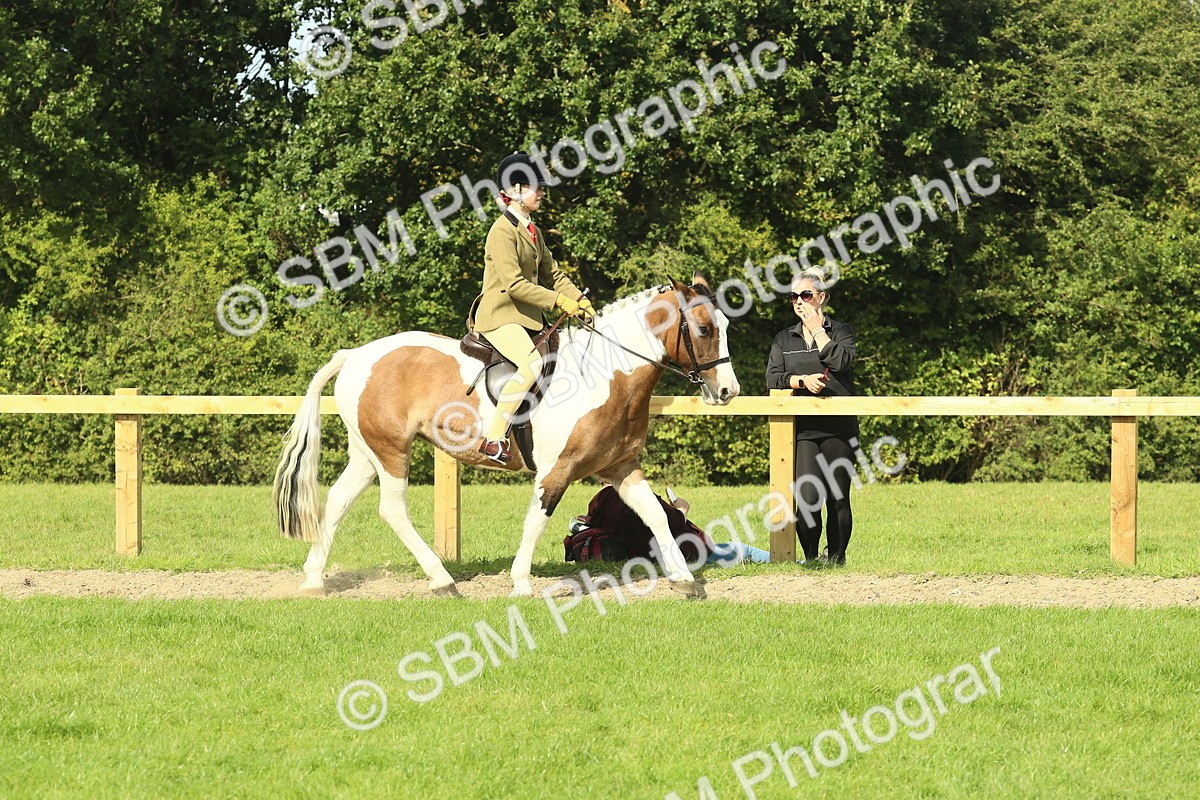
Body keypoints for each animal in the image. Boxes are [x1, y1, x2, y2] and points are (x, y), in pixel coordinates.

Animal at [272, 274, 741, 598]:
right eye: (703, 329)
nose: (728, 391)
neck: (608, 375)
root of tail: (357, 354)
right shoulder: (557, 470)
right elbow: (537, 520)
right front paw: (521, 583)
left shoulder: (621, 468)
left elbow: (657, 516)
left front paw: (684, 579)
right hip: (391, 451)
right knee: (392, 509)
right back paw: (442, 581)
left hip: (367, 452)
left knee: (337, 500)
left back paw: (314, 579)